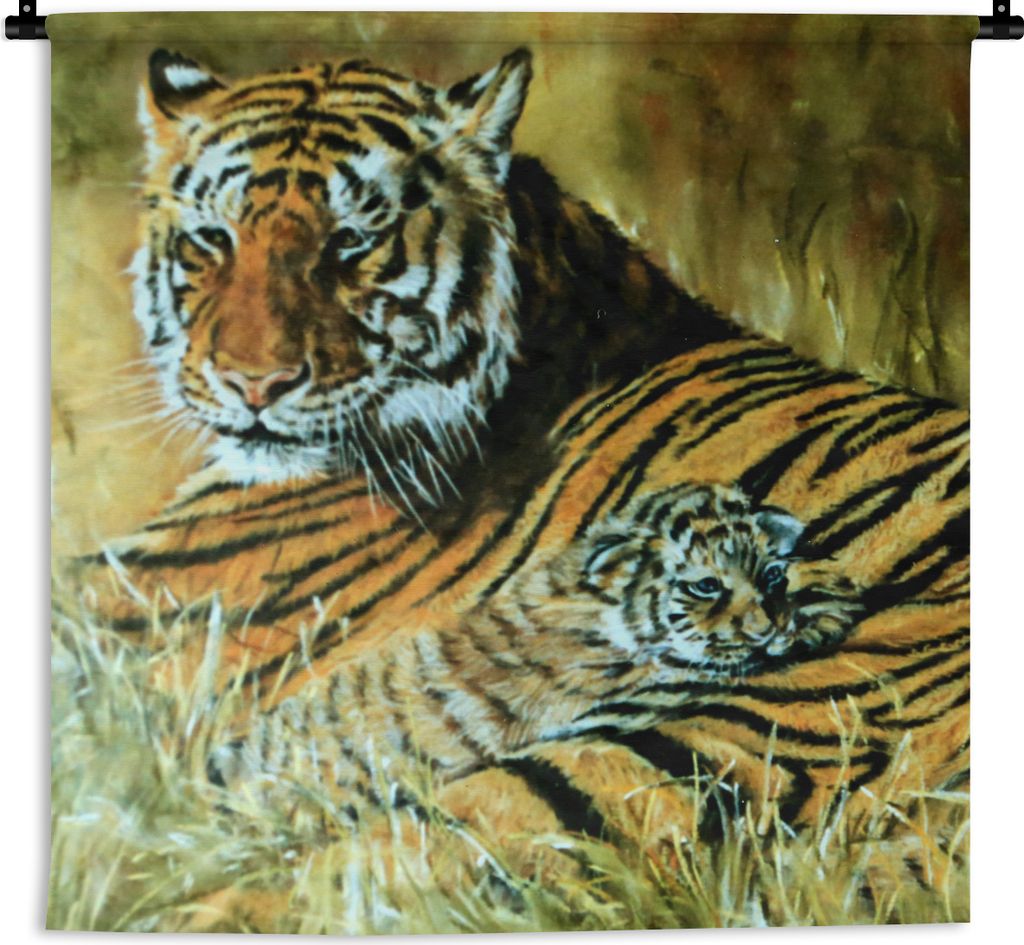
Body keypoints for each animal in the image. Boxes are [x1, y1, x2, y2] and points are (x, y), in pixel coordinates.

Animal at [210, 483, 861, 814]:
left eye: (770, 575)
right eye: (706, 586)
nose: (768, 627)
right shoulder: (611, 694)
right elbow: (709, 662)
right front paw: (826, 608)